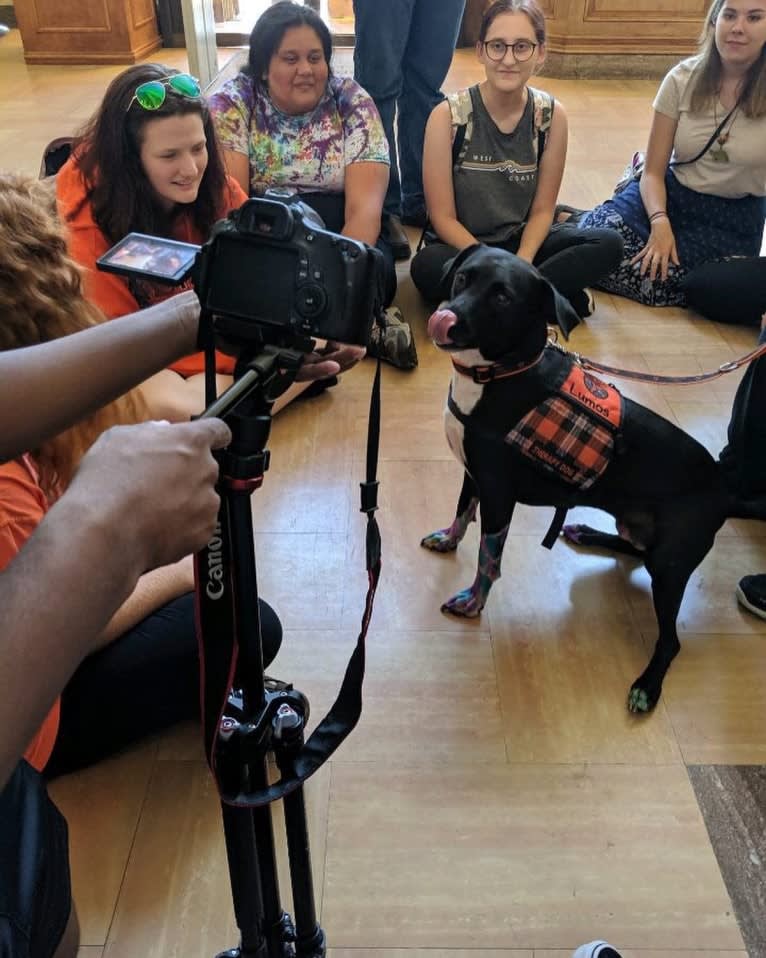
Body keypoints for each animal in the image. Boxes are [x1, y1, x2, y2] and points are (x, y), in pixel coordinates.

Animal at [424, 246, 728, 712]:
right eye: (463, 277)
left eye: (502, 298)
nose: (446, 317)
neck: (501, 372)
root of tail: (723, 487)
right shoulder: (473, 476)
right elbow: (461, 513)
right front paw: (448, 539)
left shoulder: (498, 495)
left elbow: (488, 560)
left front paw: (474, 602)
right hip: (640, 531)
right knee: (632, 549)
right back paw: (588, 532)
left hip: (670, 562)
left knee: (671, 641)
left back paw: (647, 685)